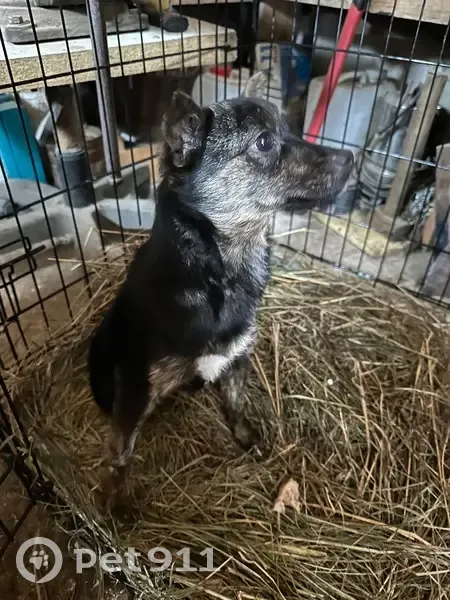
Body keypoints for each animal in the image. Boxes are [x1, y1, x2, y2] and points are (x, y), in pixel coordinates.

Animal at [88, 71, 353, 490]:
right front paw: (115, 495)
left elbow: (236, 404)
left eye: (290, 129)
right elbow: (121, 451)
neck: (218, 276)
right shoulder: (134, 388)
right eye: (264, 142)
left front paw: (246, 436)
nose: (351, 158)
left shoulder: (237, 358)